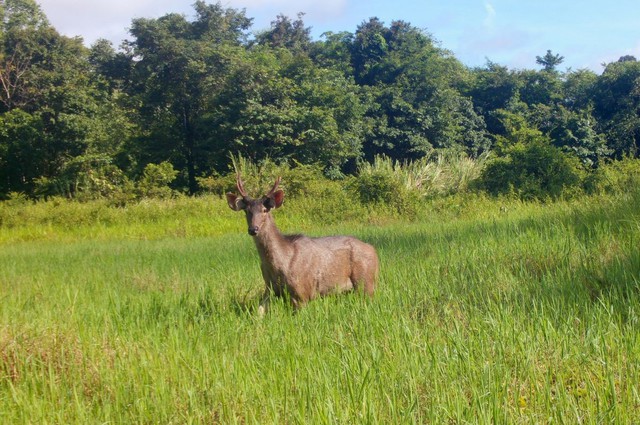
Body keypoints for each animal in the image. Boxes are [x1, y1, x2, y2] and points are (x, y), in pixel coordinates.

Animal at [228, 174, 380, 314]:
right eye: (247, 211)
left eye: (265, 210)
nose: (253, 229)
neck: (281, 263)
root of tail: (373, 249)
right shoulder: (269, 289)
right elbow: (257, 313)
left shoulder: (302, 292)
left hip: (366, 280)